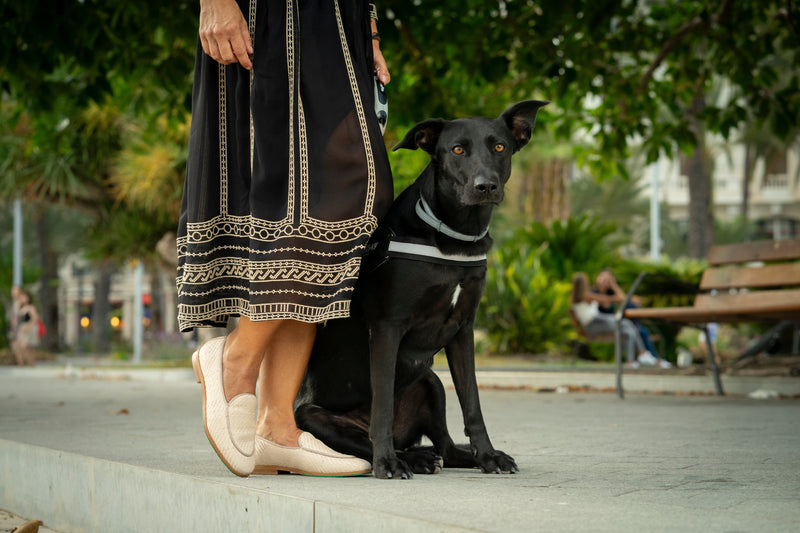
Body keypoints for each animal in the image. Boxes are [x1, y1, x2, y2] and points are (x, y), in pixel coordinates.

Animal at [296, 100, 552, 478]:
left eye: (499, 147)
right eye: (457, 149)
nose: (485, 186)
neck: (455, 236)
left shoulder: (463, 329)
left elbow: (472, 403)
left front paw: (488, 456)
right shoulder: (386, 328)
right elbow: (382, 408)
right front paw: (386, 463)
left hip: (430, 381)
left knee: (446, 445)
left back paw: (447, 455)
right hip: (313, 416)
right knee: (367, 442)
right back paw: (407, 458)